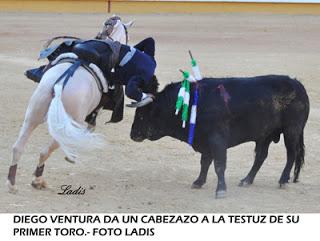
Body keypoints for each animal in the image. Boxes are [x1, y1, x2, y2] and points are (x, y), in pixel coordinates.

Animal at [6, 15, 134, 194]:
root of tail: (60, 83)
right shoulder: (94, 113)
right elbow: (88, 130)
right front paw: (72, 156)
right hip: (66, 123)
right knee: (45, 151)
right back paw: (38, 180)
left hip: (32, 115)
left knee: (18, 147)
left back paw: (11, 183)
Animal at [130, 75, 310, 198]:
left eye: (141, 115)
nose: (132, 135)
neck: (194, 103)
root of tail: (297, 84)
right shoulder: (204, 142)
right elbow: (204, 163)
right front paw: (198, 182)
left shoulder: (217, 141)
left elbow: (219, 165)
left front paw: (221, 190)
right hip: (265, 135)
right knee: (260, 156)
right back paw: (246, 180)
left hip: (292, 131)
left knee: (291, 154)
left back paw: (283, 180)